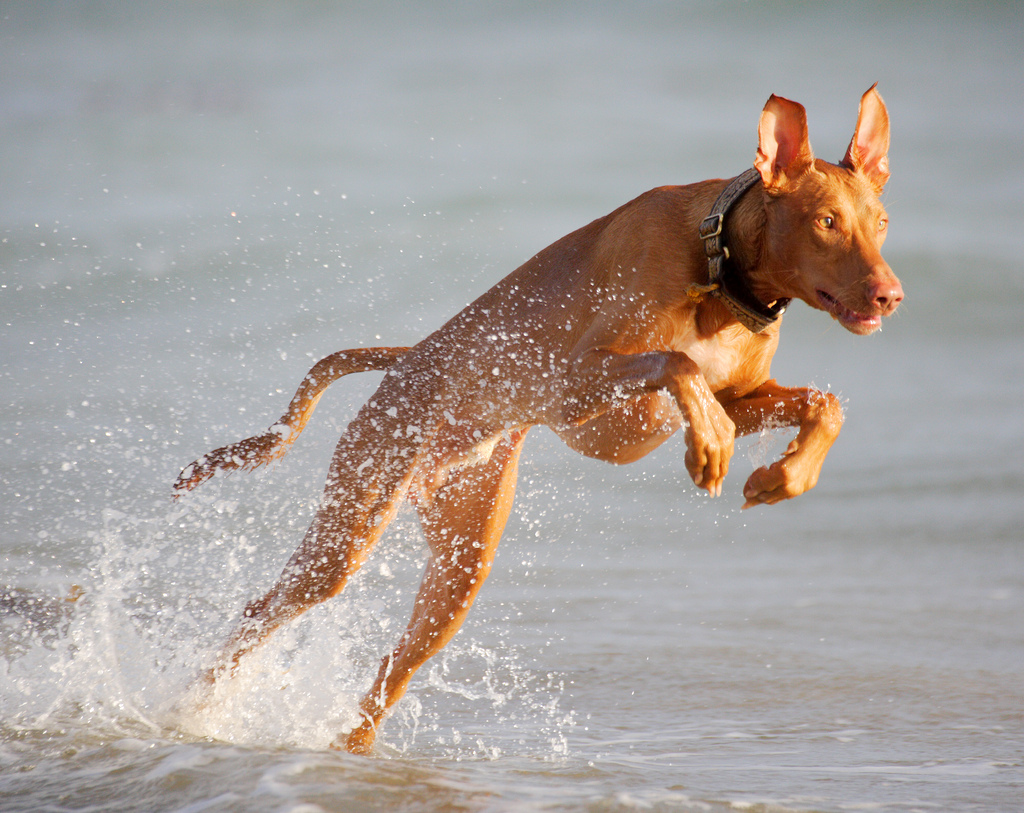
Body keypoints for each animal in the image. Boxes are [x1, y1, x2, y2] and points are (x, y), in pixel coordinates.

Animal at [176, 85, 905, 749]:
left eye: (882, 223)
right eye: (827, 222)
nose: (891, 295)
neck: (719, 268)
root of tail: (406, 361)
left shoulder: (739, 394)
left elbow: (825, 403)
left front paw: (786, 475)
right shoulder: (570, 388)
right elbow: (678, 364)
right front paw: (711, 447)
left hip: (460, 567)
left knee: (387, 674)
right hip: (351, 526)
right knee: (262, 611)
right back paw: (193, 708)